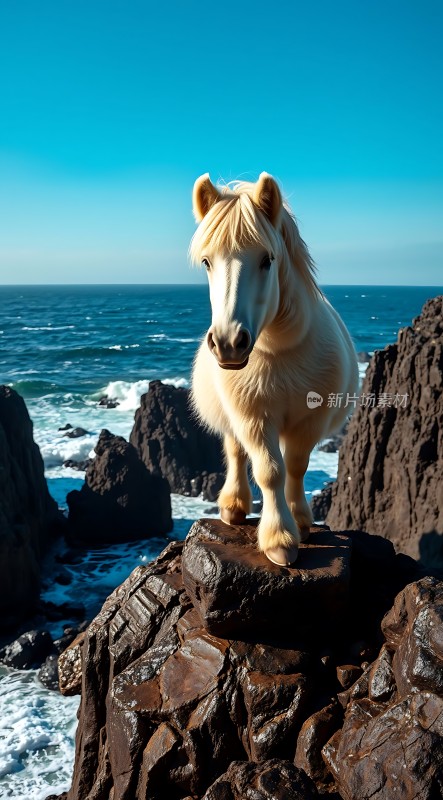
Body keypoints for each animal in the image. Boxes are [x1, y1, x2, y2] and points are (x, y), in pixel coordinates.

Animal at [190, 172, 358, 566]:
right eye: (206, 262)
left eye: (267, 259)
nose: (228, 342)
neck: (276, 351)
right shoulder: (253, 417)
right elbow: (269, 471)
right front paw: (279, 539)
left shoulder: (309, 420)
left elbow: (295, 466)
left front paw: (300, 521)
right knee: (236, 453)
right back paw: (234, 506)